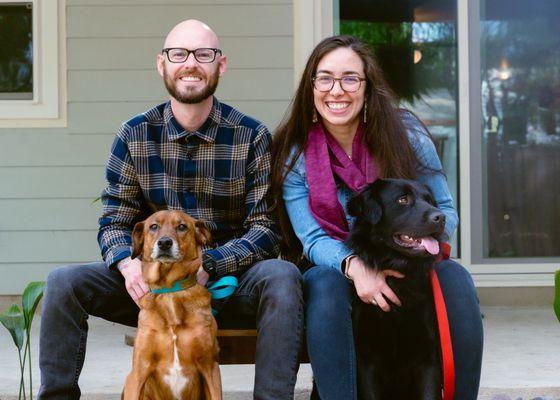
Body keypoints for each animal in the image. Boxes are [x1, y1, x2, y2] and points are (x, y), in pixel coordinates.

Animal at [123, 211, 223, 398]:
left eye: (182, 226)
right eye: (153, 226)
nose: (164, 243)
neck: (170, 290)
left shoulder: (211, 367)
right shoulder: (138, 373)